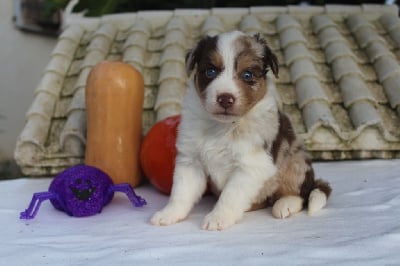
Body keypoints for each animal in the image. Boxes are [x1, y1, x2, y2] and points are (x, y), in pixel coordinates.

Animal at [150, 31, 332, 231]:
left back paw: (285, 204)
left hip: (295, 163)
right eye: (211, 71)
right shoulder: (191, 161)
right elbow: (181, 192)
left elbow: (230, 196)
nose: (225, 98)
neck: (222, 126)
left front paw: (217, 218)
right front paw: (168, 214)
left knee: (302, 193)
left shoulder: (250, 166)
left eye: (247, 74)